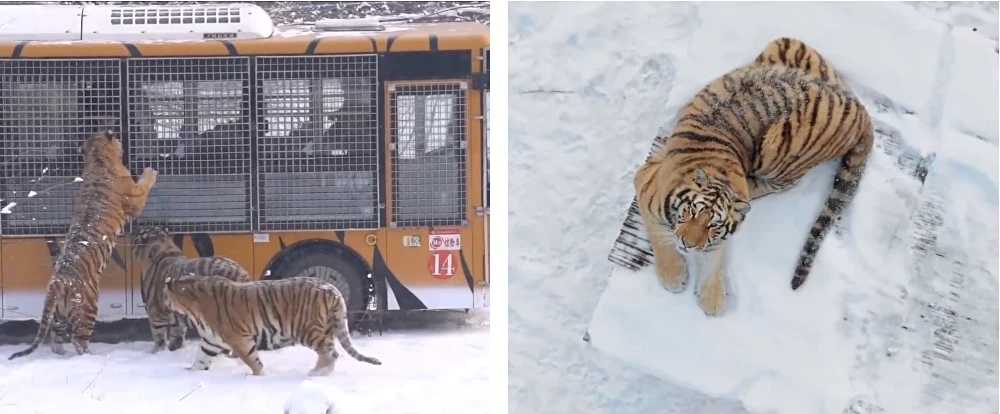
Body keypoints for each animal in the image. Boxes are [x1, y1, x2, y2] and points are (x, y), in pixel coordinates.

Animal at [8, 128, 158, 360]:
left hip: (58, 314)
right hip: (87, 308)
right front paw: (150, 172)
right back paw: (92, 357)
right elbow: (143, 185)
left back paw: (62, 356)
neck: (98, 158)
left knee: (55, 338)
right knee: (79, 341)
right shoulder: (135, 198)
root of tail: (57, 283)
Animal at [131, 225, 250, 354]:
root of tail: (240, 272)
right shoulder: (178, 318)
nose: (134, 229)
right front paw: (173, 349)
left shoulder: (156, 315)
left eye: (138, 233)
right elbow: (177, 337)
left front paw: (157, 352)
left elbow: (159, 338)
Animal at [163, 274, 382, 376]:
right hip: (325, 328)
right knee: (329, 351)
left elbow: (253, 361)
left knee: (331, 353)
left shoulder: (239, 339)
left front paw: (259, 376)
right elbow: (200, 361)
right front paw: (190, 373)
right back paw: (318, 372)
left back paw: (316, 374)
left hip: (307, 330)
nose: (166, 304)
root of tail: (331, 288)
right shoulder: (210, 341)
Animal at [634, 37, 874, 316]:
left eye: (714, 225)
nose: (688, 244)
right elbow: (661, 240)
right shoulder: (644, 186)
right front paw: (673, 277)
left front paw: (712, 299)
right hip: (784, 45)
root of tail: (860, 111)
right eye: (691, 211)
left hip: (778, 144)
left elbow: (714, 257)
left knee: (784, 183)